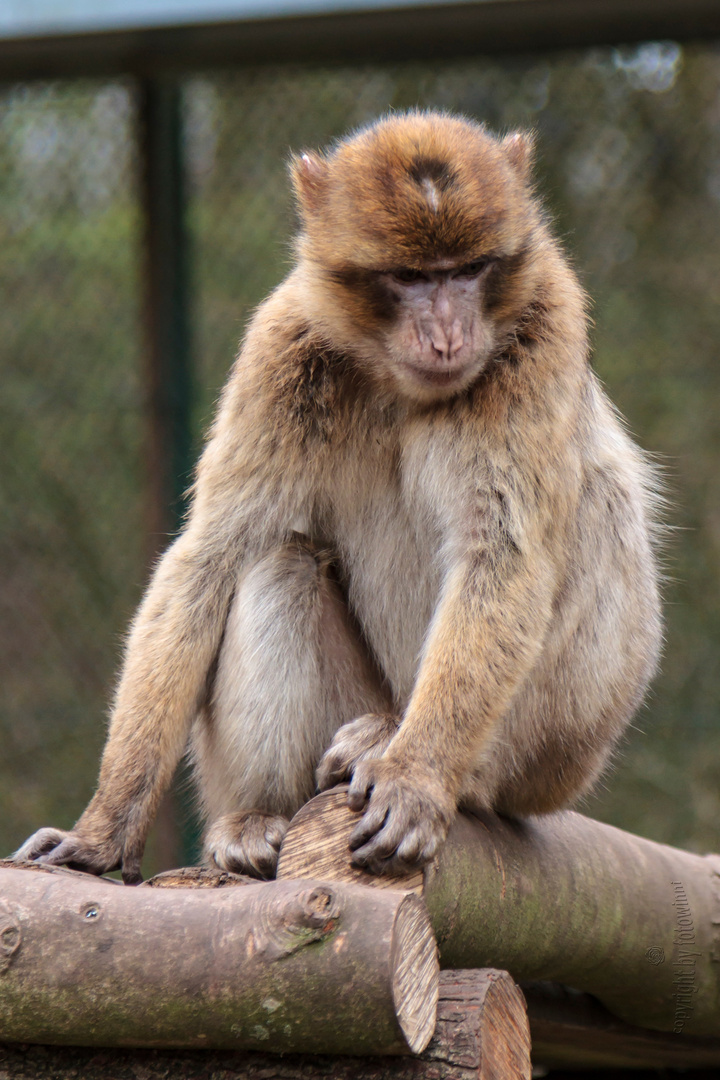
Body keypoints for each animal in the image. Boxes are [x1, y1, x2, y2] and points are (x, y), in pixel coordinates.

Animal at [12, 113, 664, 881]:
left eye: (468, 271)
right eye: (409, 277)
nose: (448, 334)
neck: (397, 385)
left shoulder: (547, 321)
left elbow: (503, 554)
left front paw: (417, 778)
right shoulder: (282, 345)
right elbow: (208, 557)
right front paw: (104, 827)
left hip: (550, 762)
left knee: (599, 510)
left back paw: (432, 763)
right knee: (278, 564)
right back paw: (258, 816)